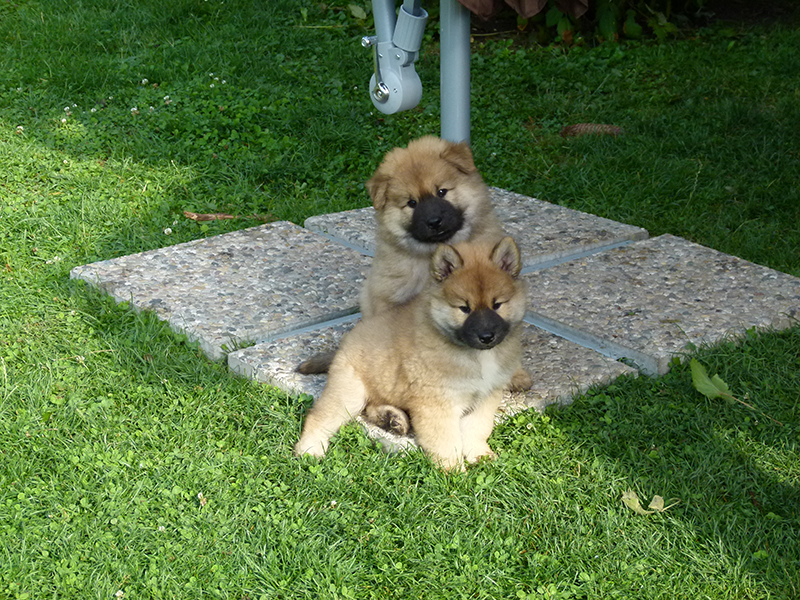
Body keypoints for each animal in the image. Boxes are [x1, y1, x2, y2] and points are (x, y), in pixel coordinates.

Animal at [294, 236, 526, 471]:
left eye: (497, 305)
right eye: (464, 308)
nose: (486, 336)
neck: (474, 355)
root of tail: (344, 343)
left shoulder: (485, 396)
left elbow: (477, 428)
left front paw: (478, 454)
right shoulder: (437, 403)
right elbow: (446, 440)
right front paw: (453, 470)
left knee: (371, 405)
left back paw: (392, 418)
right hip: (349, 392)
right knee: (319, 417)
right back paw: (310, 449)